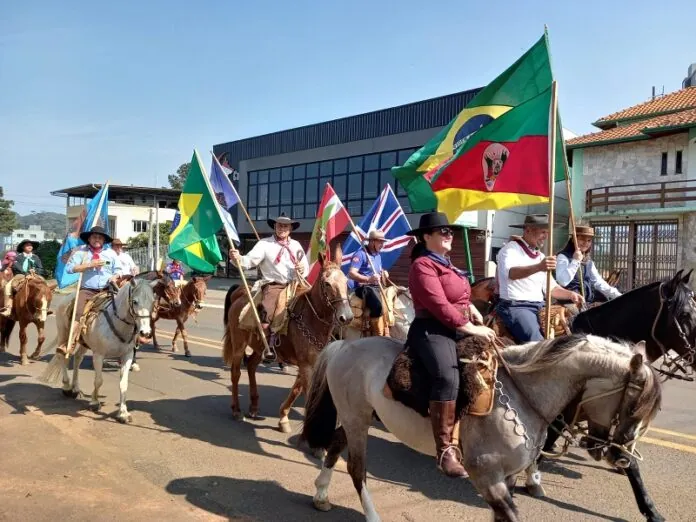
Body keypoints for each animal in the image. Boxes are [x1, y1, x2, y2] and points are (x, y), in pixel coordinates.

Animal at [39, 276, 158, 422]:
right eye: (135, 301)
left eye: (153, 301)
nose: (145, 333)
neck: (119, 323)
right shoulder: (99, 355)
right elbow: (99, 381)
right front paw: (94, 402)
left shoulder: (127, 355)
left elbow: (123, 384)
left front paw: (123, 413)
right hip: (64, 334)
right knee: (63, 356)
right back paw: (67, 387)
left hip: (84, 342)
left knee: (77, 358)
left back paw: (75, 388)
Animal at [223, 248, 354, 430]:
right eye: (327, 283)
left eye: (346, 281)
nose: (346, 317)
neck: (310, 318)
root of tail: (240, 295)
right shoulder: (306, 365)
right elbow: (306, 394)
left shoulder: (309, 363)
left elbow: (296, 389)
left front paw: (283, 417)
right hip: (239, 344)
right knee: (235, 373)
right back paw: (236, 410)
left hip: (260, 348)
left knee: (251, 366)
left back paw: (254, 407)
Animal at [302, 334, 660, 520]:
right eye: (632, 406)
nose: (622, 457)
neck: (522, 391)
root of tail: (345, 344)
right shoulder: (486, 476)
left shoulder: (508, 477)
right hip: (357, 419)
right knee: (357, 469)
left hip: (360, 417)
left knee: (335, 444)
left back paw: (321, 493)